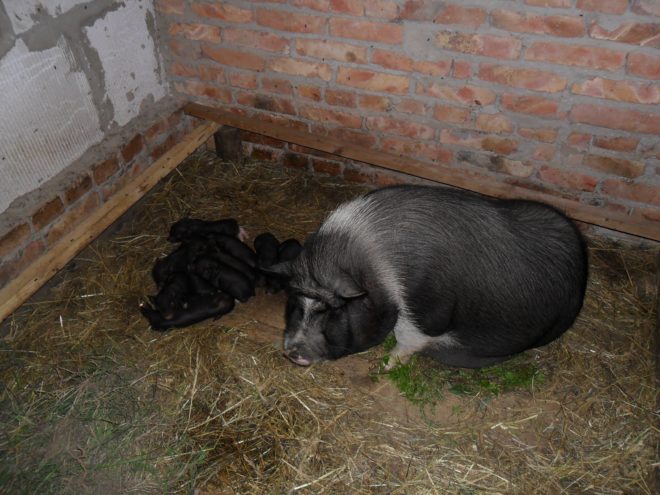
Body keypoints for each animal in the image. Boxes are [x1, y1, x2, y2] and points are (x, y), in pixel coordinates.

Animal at [266, 185, 588, 368]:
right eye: (295, 303)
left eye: (334, 311)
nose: (293, 352)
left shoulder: (426, 307)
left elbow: (409, 335)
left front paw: (387, 365)